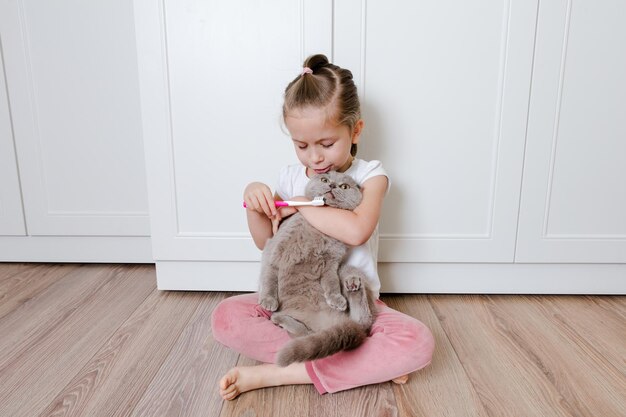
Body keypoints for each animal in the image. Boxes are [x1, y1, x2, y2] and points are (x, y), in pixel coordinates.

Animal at [258, 169, 376, 364]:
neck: (317, 231)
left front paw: (337, 299)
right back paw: (277, 316)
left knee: (362, 320)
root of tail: (329, 323)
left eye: (344, 186)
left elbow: (332, 283)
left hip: (346, 269)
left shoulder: (332, 263)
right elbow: (269, 278)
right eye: (324, 179)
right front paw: (268, 300)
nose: (332, 185)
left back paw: (352, 284)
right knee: (305, 333)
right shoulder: (275, 251)